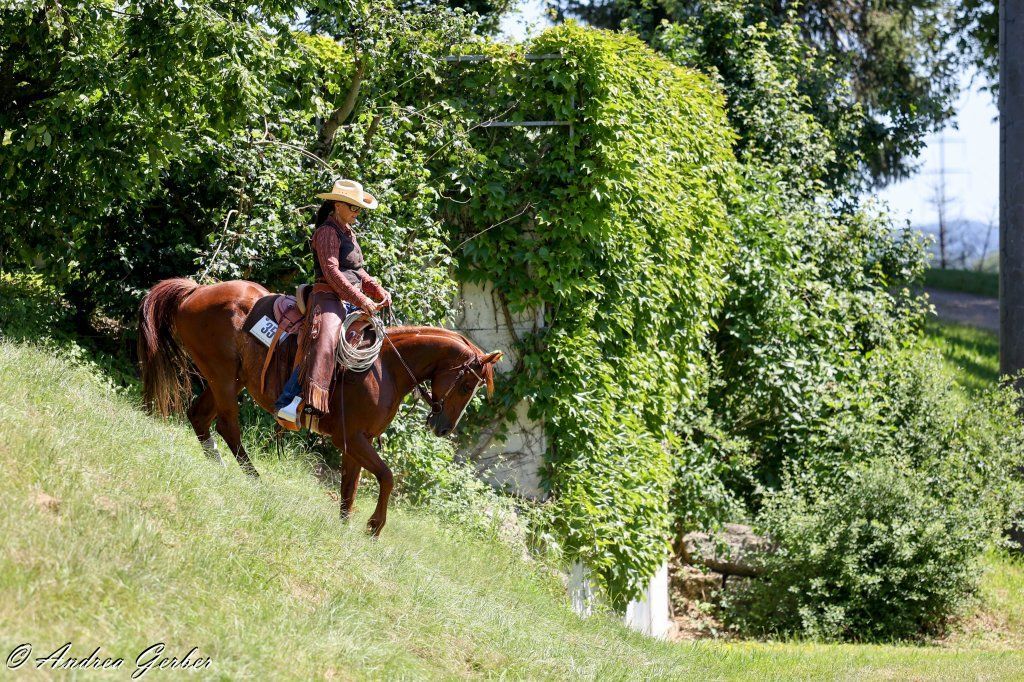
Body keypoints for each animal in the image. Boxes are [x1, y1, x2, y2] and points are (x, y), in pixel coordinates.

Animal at [137, 278, 502, 535]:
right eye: (466, 385)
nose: (444, 428)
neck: (385, 367)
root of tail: (196, 291)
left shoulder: (356, 443)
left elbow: (349, 489)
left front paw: (345, 528)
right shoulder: (351, 438)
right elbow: (386, 477)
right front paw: (375, 526)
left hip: (228, 379)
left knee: (199, 416)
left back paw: (219, 466)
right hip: (223, 377)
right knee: (227, 426)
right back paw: (255, 480)